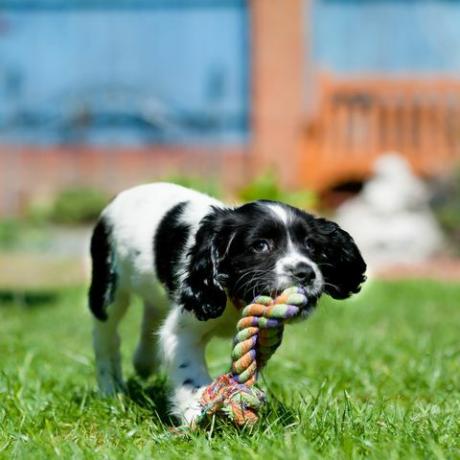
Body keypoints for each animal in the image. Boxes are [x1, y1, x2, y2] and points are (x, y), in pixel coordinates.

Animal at [87, 182, 366, 424]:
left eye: (311, 245)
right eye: (260, 246)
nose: (305, 273)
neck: (235, 297)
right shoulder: (183, 331)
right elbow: (188, 372)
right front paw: (196, 414)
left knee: (150, 317)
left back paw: (144, 363)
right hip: (108, 289)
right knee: (106, 340)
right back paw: (111, 389)